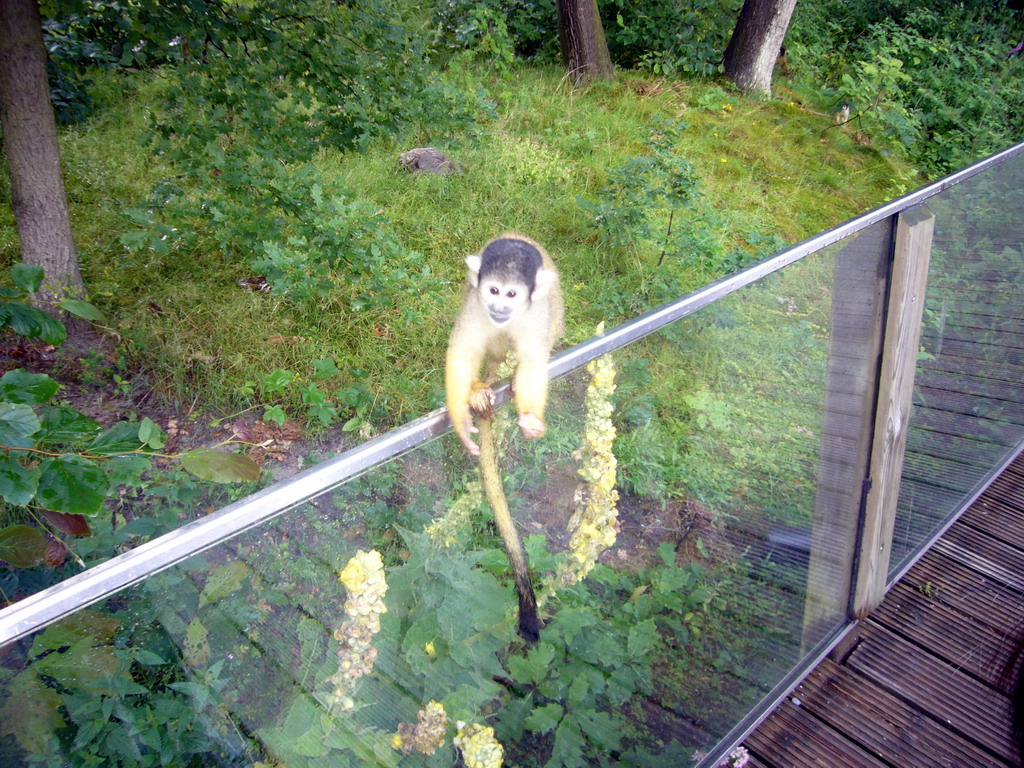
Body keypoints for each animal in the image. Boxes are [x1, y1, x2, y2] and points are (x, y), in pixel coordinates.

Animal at [444, 234, 565, 456]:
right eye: (494, 290)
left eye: (511, 294)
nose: (499, 308)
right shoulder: (476, 302)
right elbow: (463, 351)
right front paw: (462, 421)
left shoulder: (538, 312)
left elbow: (533, 362)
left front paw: (529, 417)